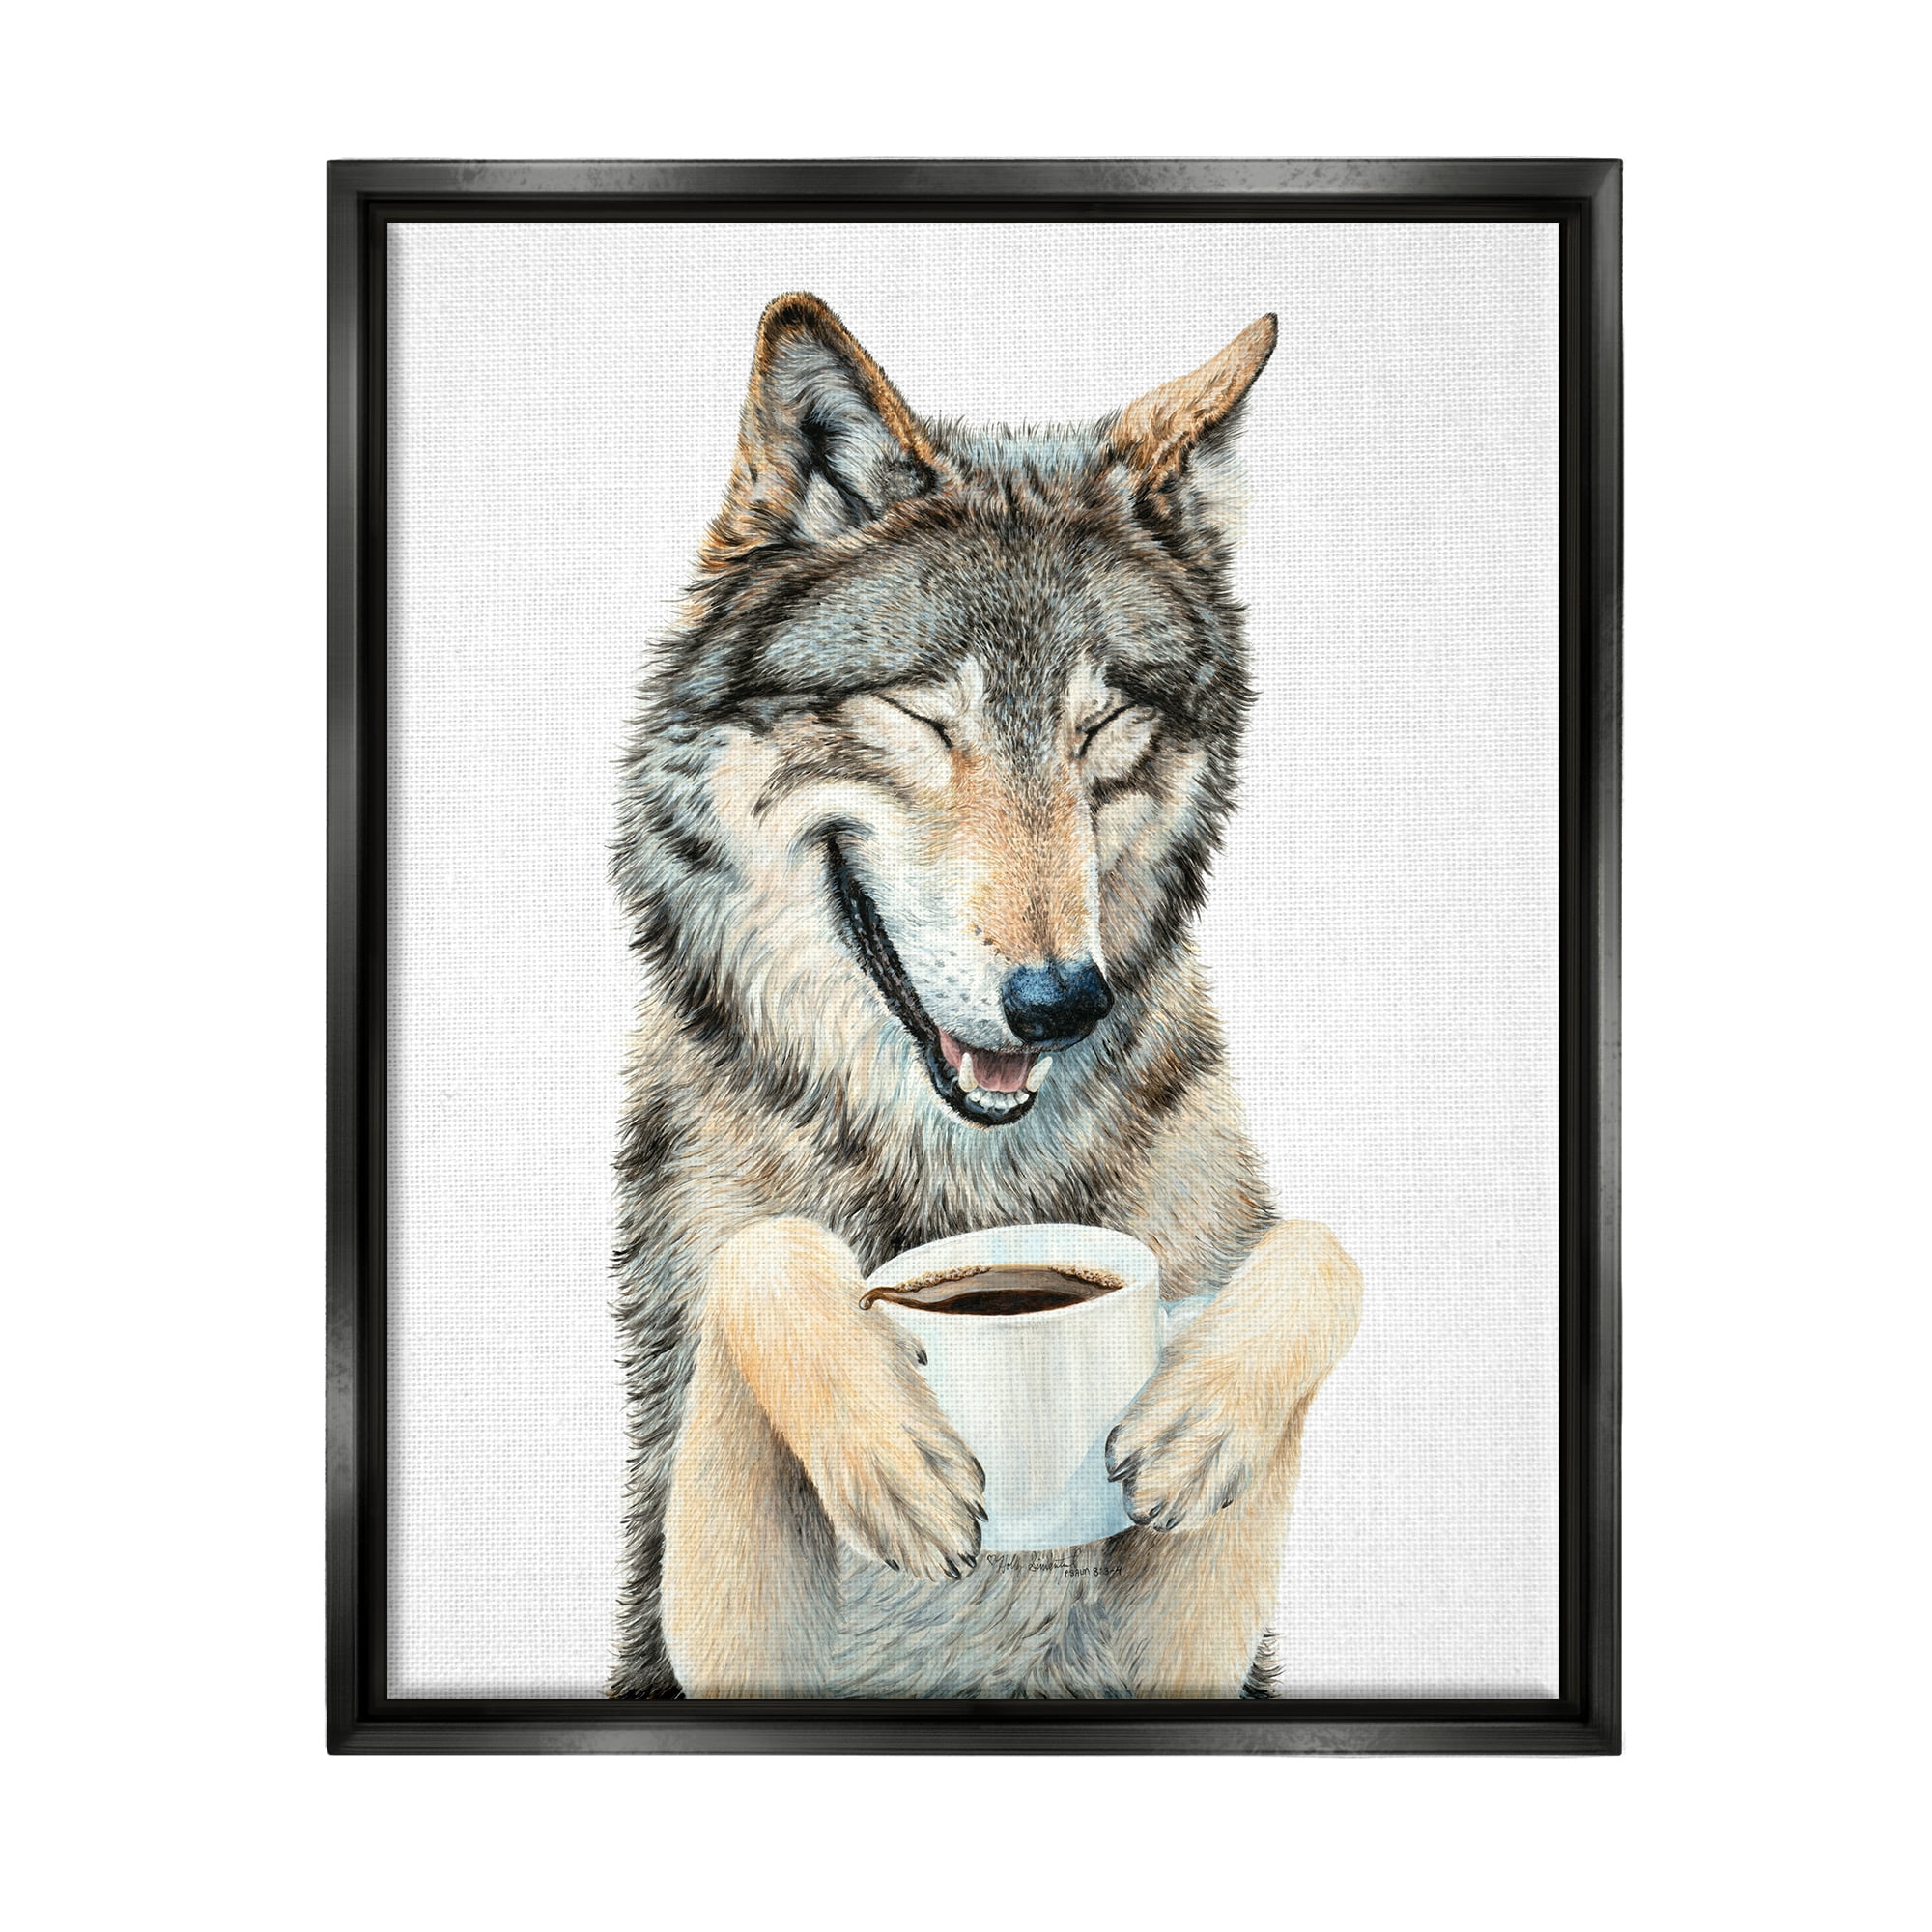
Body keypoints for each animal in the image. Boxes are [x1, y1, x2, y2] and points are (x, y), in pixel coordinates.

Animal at [608, 293, 1362, 1700]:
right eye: (922, 718)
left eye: (1100, 729)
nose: (1062, 1002)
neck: (968, 1181)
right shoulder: (705, 1619)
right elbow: (763, 1248)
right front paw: (889, 1450)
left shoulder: (1186, 1644)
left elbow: (1317, 1247)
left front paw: (1201, 1418)